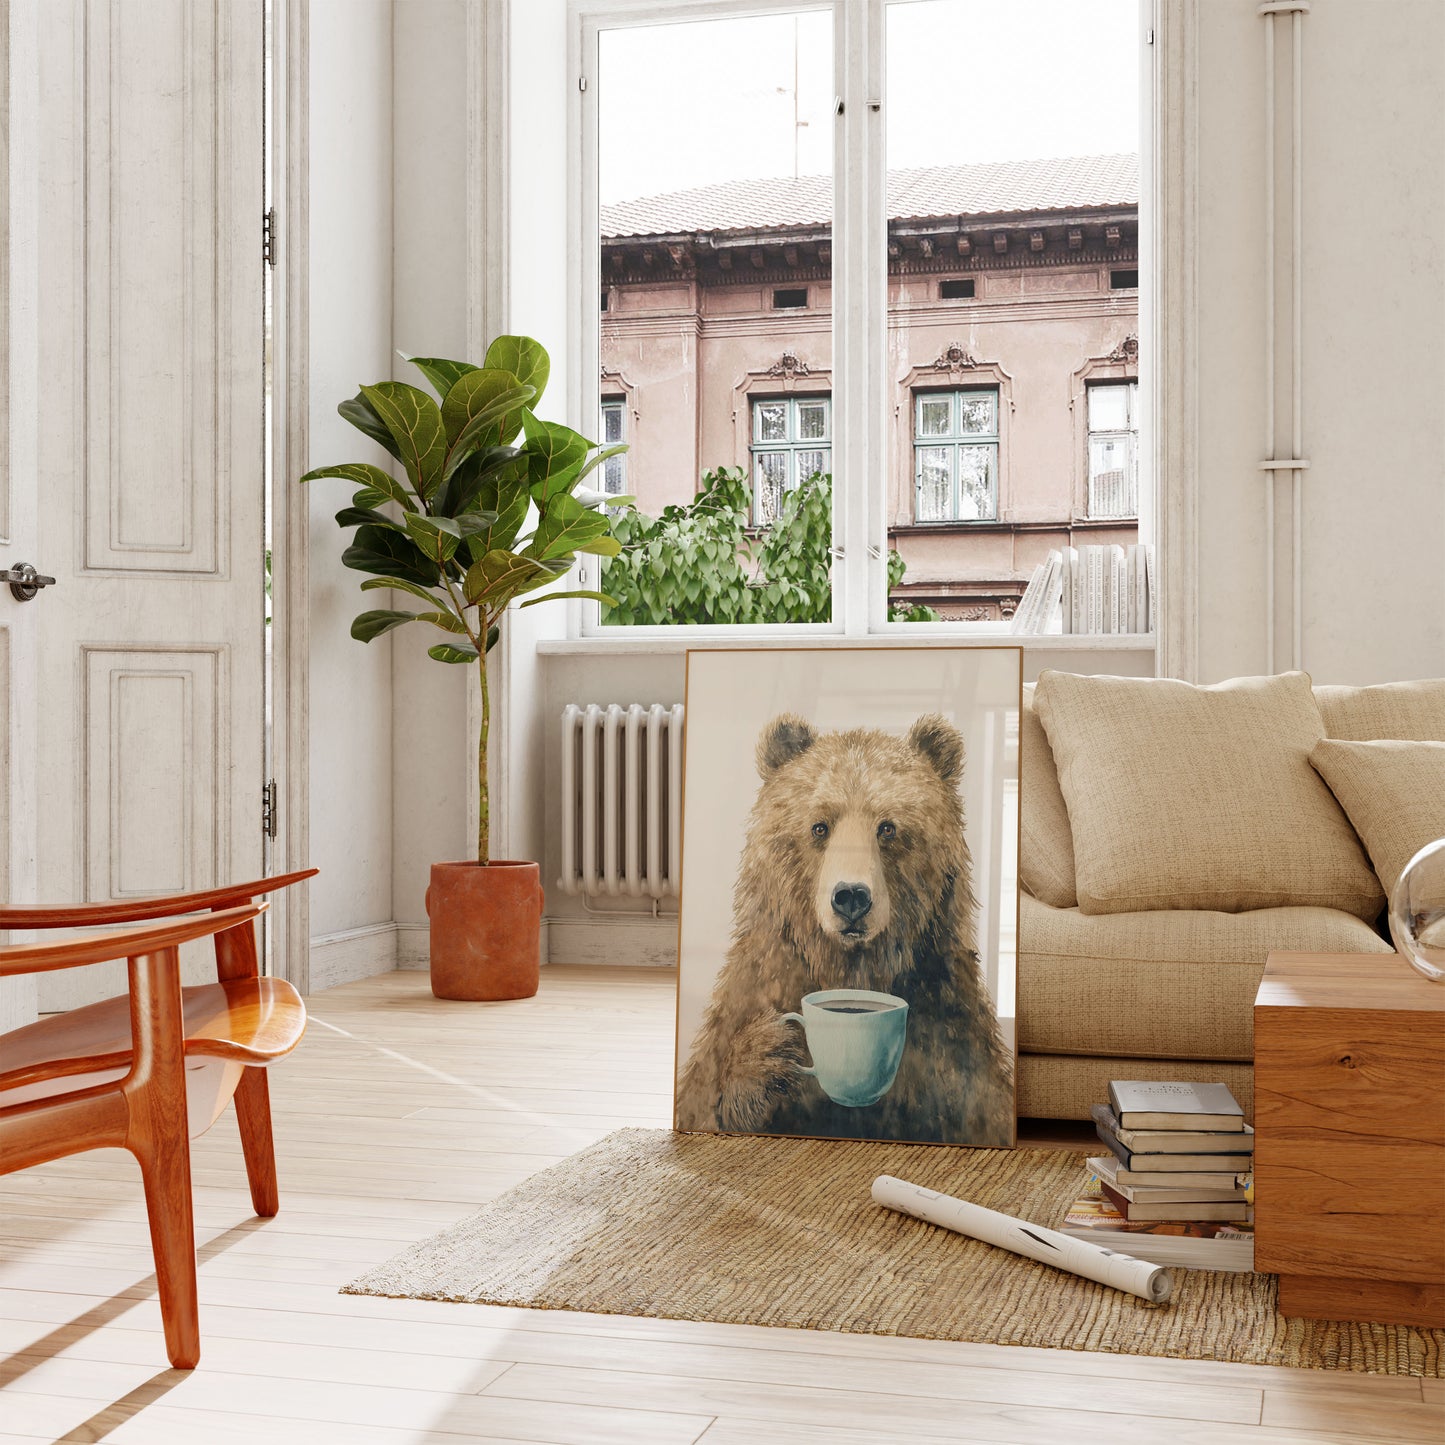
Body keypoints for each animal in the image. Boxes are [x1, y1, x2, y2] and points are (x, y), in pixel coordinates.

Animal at [675, 711, 1014, 1146]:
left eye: (887, 827)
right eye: (820, 826)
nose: (851, 897)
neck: (853, 969)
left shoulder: (947, 1037)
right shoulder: (758, 986)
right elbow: (704, 1095)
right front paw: (768, 1054)